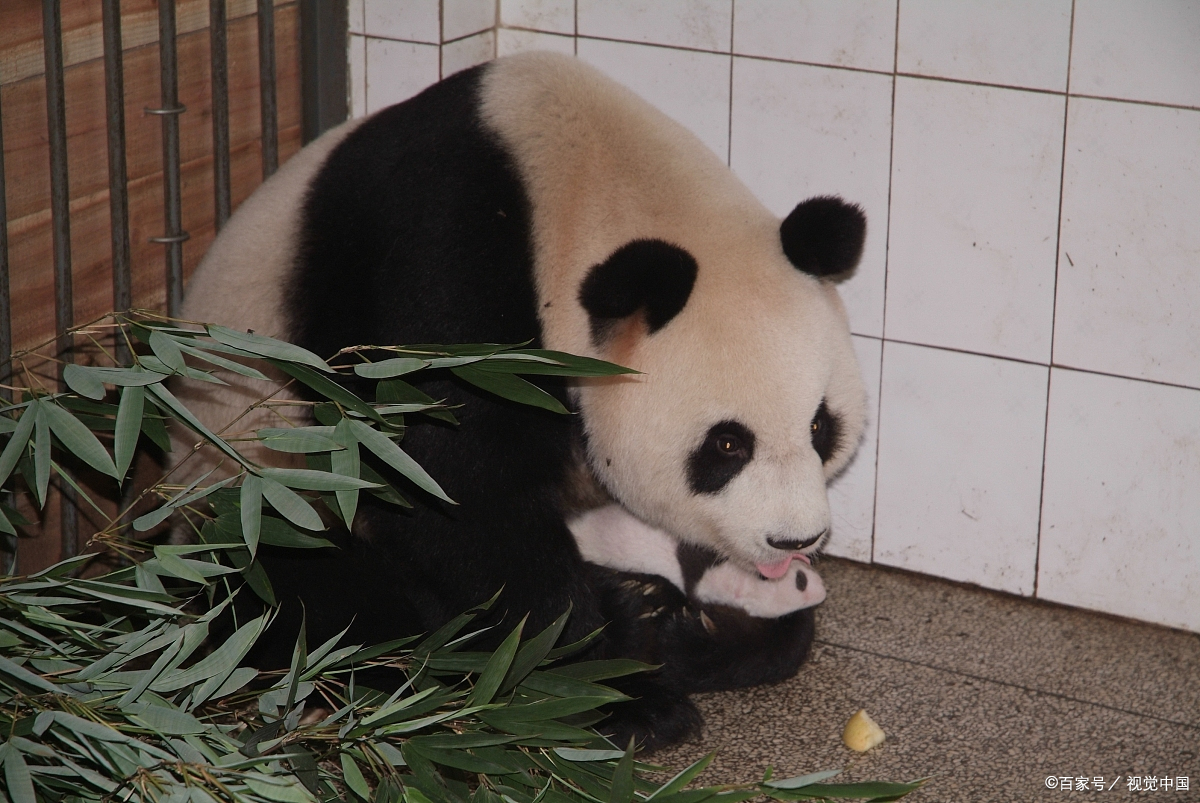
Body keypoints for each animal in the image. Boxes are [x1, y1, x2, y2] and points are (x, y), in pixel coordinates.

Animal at [175, 53, 864, 748]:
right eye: (727, 444)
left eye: (819, 427)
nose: (795, 539)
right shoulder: (449, 260)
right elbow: (448, 482)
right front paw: (617, 689)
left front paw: (687, 630)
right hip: (256, 488)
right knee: (312, 595)